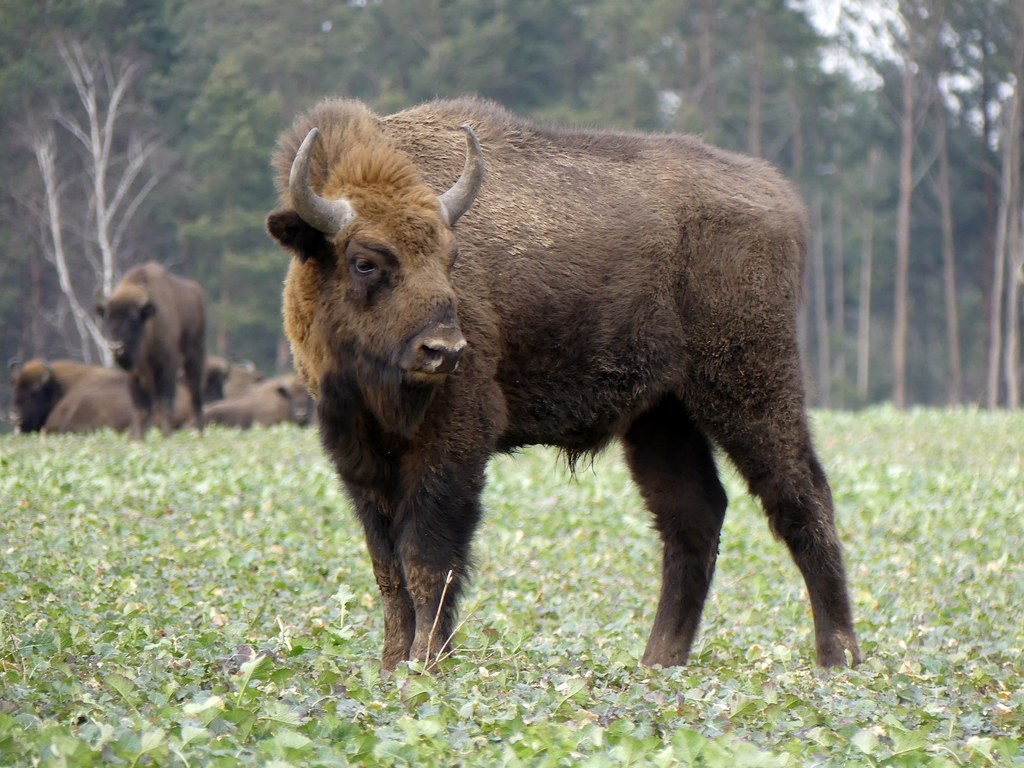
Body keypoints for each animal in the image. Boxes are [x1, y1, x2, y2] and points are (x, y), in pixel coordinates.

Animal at [97, 262, 205, 438]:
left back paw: (200, 434)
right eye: (108, 317)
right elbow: (140, 410)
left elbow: (165, 405)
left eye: (133, 317)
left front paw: (166, 437)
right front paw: (139, 440)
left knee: (195, 397)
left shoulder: (167, 367)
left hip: (195, 358)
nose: (116, 348)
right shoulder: (134, 376)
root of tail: (196, 293)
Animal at [266, 96, 864, 671]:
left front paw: (426, 665)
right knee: (694, 513)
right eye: (364, 261)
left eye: (451, 256)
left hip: (750, 388)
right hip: (661, 416)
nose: (445, 350)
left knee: (801, 497)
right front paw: (392, 667)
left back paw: (838, 658)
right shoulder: (360, 457)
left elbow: (426, 562)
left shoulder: (453, 444)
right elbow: (387, 568)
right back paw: (658, 662)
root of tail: (780, 195)